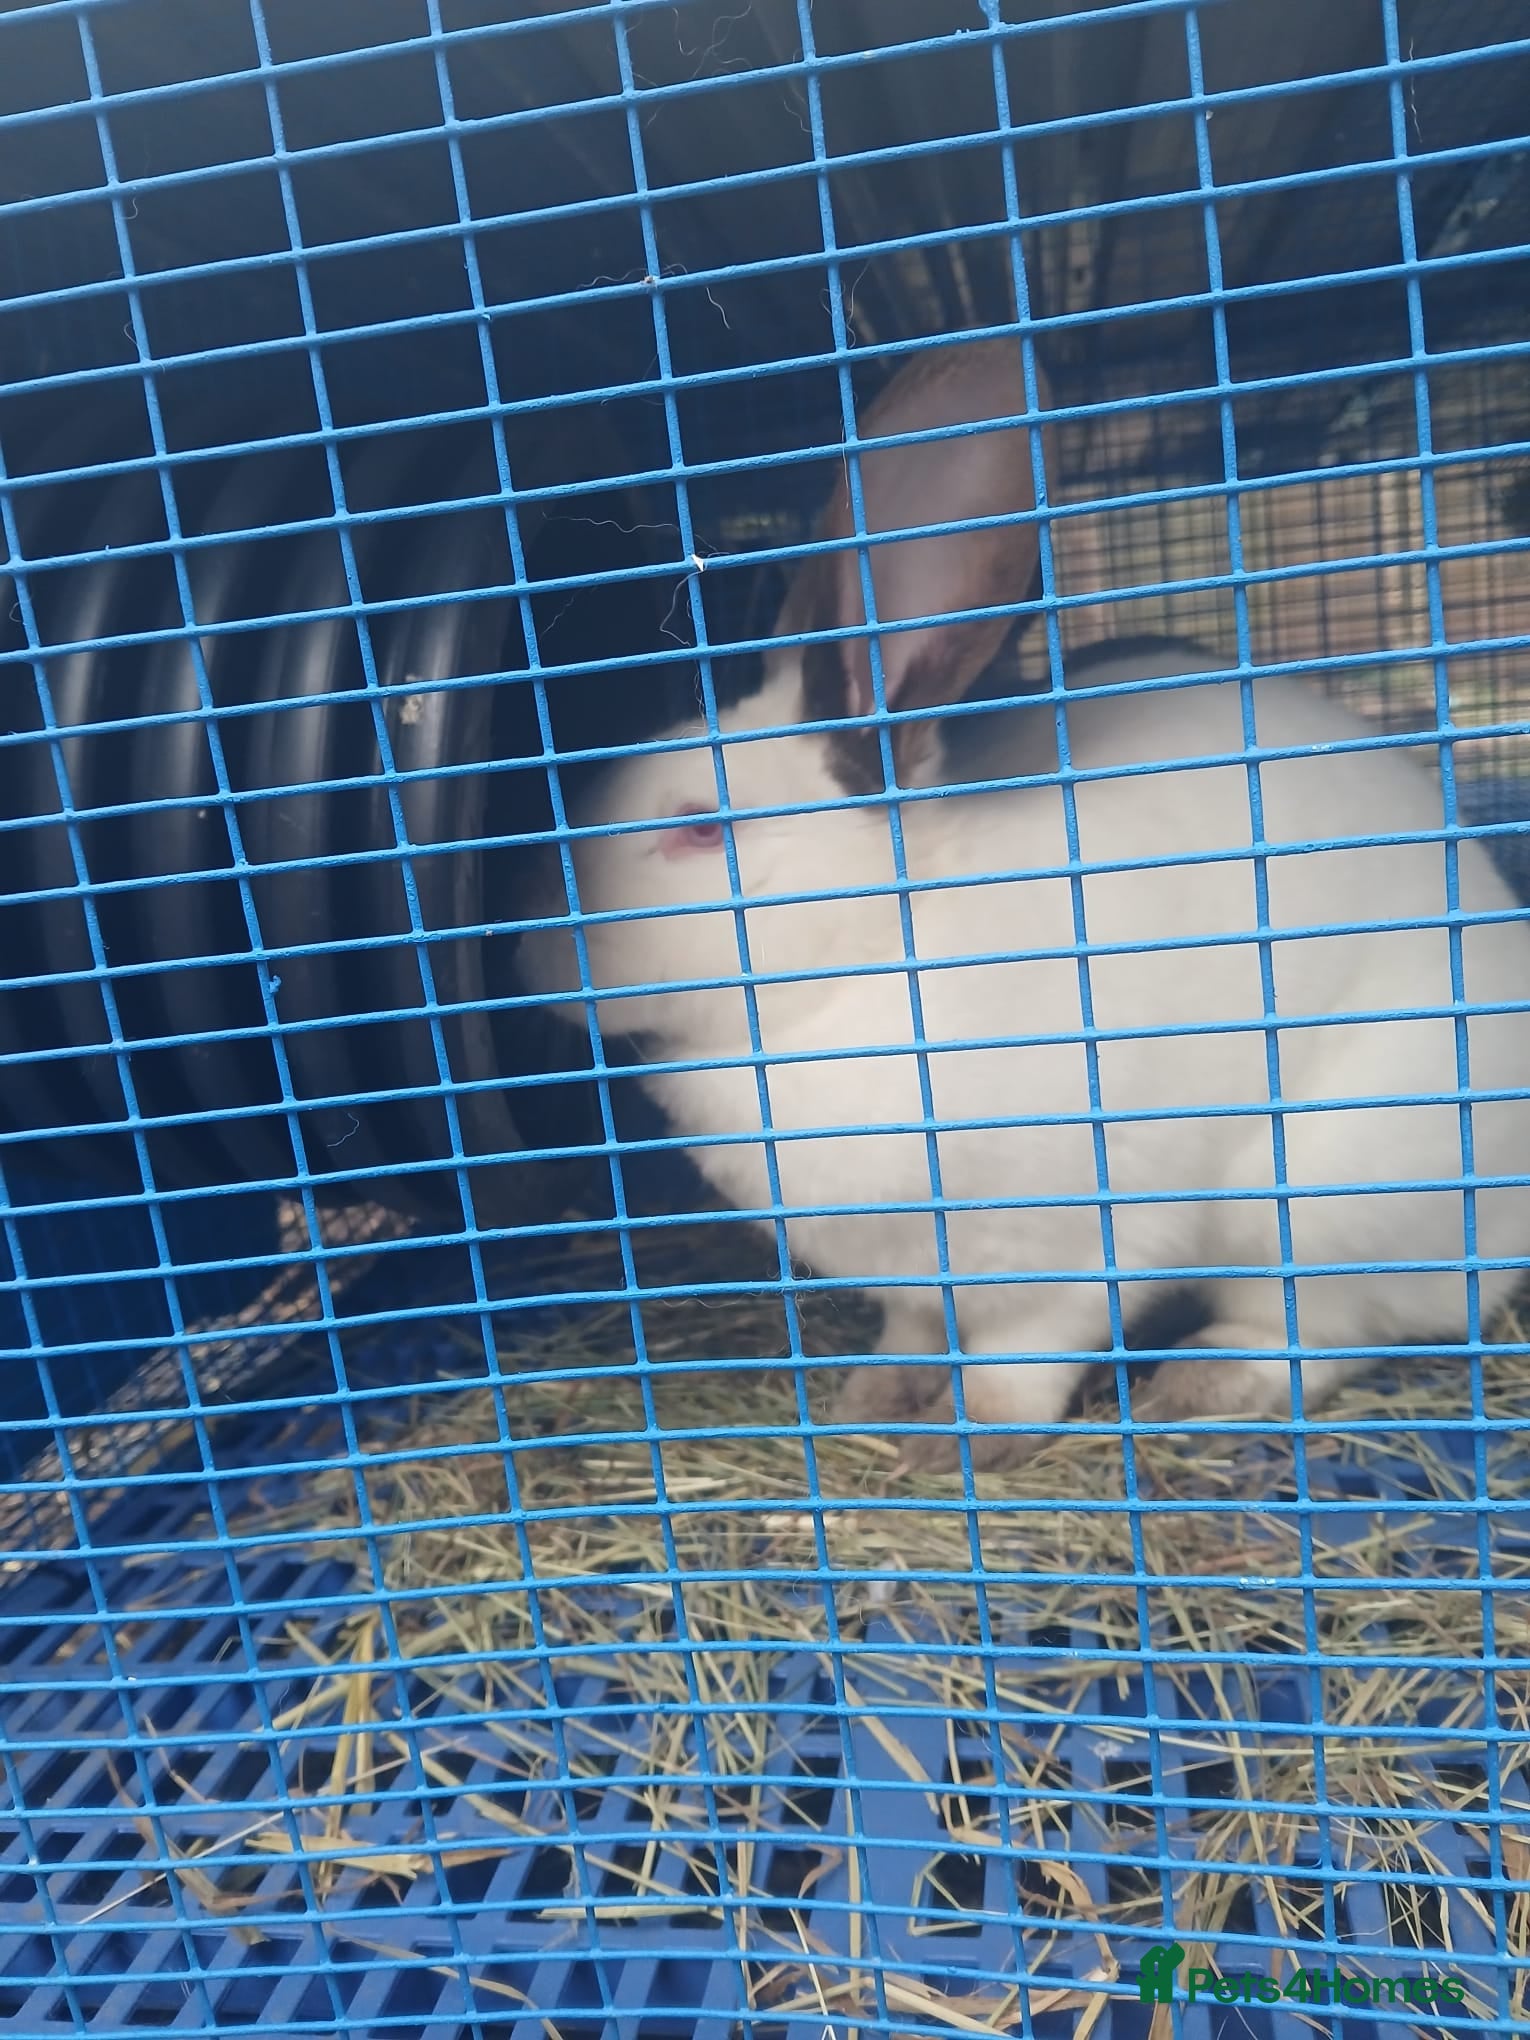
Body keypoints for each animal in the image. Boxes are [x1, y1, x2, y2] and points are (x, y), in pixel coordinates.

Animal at [516, 336, 1530, 1472]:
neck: (856, 972)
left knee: (1328, 1330)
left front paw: (955, 1445)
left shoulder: (1067, 1255)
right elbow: (911, 1334)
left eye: (697, 828)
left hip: (1328, 1198)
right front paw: (871, 1400)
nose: (524, 951)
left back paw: (1202, 1384)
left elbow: (1022, 1364)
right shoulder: (915, 1280)